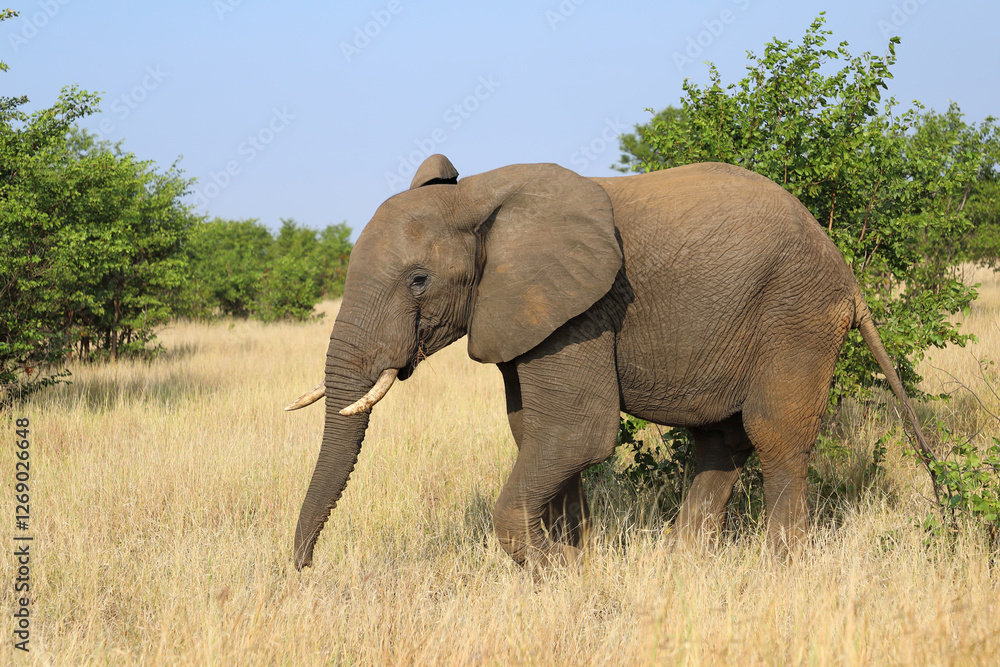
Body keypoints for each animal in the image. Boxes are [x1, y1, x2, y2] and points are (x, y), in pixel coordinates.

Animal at [285, 153, 931, 569]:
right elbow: (536, 434)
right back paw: (682, 565)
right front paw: (578, 559)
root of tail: (845, 269)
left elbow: (577, 434)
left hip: (796, 316)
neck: (481, 196)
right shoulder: (529, 315)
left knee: (776, 437)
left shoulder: (583, 311)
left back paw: (779, 570)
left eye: (418, 280)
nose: (305, 567)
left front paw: (559, 568)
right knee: (721, 441)